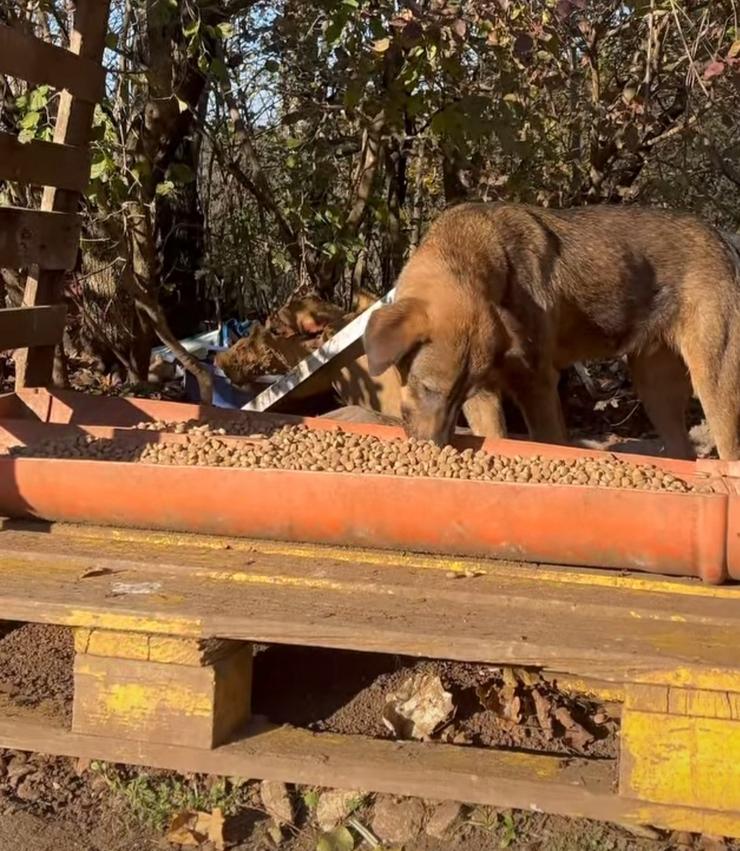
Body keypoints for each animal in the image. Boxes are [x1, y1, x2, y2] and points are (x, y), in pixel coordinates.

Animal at [362, 202, 740, 460]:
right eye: (427, 388)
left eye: (437, 390)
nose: (433, 449)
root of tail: (721, 238)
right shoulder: (485, 397)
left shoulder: (537, 388)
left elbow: (549, 441)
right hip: (656, 389)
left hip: (714, 386)